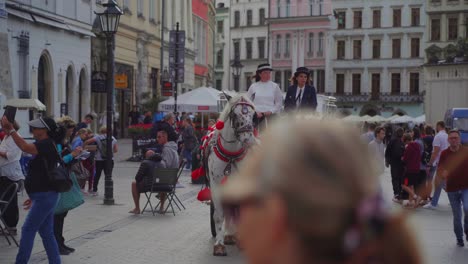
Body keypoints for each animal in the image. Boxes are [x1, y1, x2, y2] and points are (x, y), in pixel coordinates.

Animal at [201, 94, 256, 256]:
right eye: (234, 114)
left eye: (253, 115)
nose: (248, 138)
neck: (231, 156)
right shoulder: (216, 185)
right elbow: (219, 215)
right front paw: (219, 244)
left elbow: (240, 213)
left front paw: (240, 240)